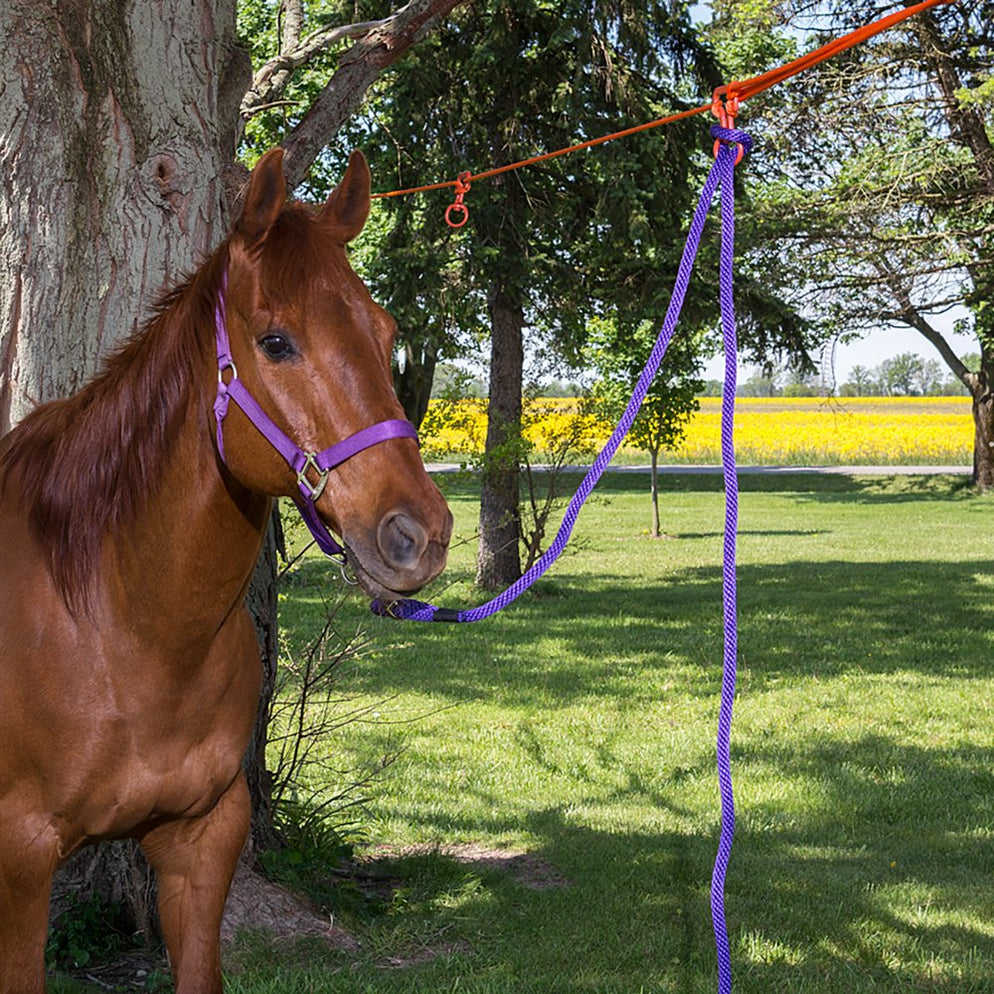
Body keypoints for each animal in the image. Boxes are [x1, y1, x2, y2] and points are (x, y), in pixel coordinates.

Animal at [0, 148, 452, 993]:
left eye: (385, 330)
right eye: (274, 341)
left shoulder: (201, 839)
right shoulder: (21, 858)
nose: (421, 534)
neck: (120, 625)